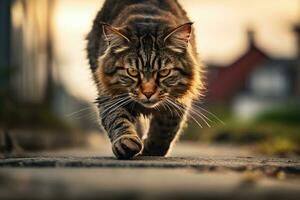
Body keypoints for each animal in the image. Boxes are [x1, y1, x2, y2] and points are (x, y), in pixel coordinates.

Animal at [86, 0, 204, 159]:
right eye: (133, 72)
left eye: (164, 72)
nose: (148, 93)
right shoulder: (110, 96)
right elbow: (118, 120)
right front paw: (126, 142)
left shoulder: (178, 101)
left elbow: (165, 128)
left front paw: (153, 149)